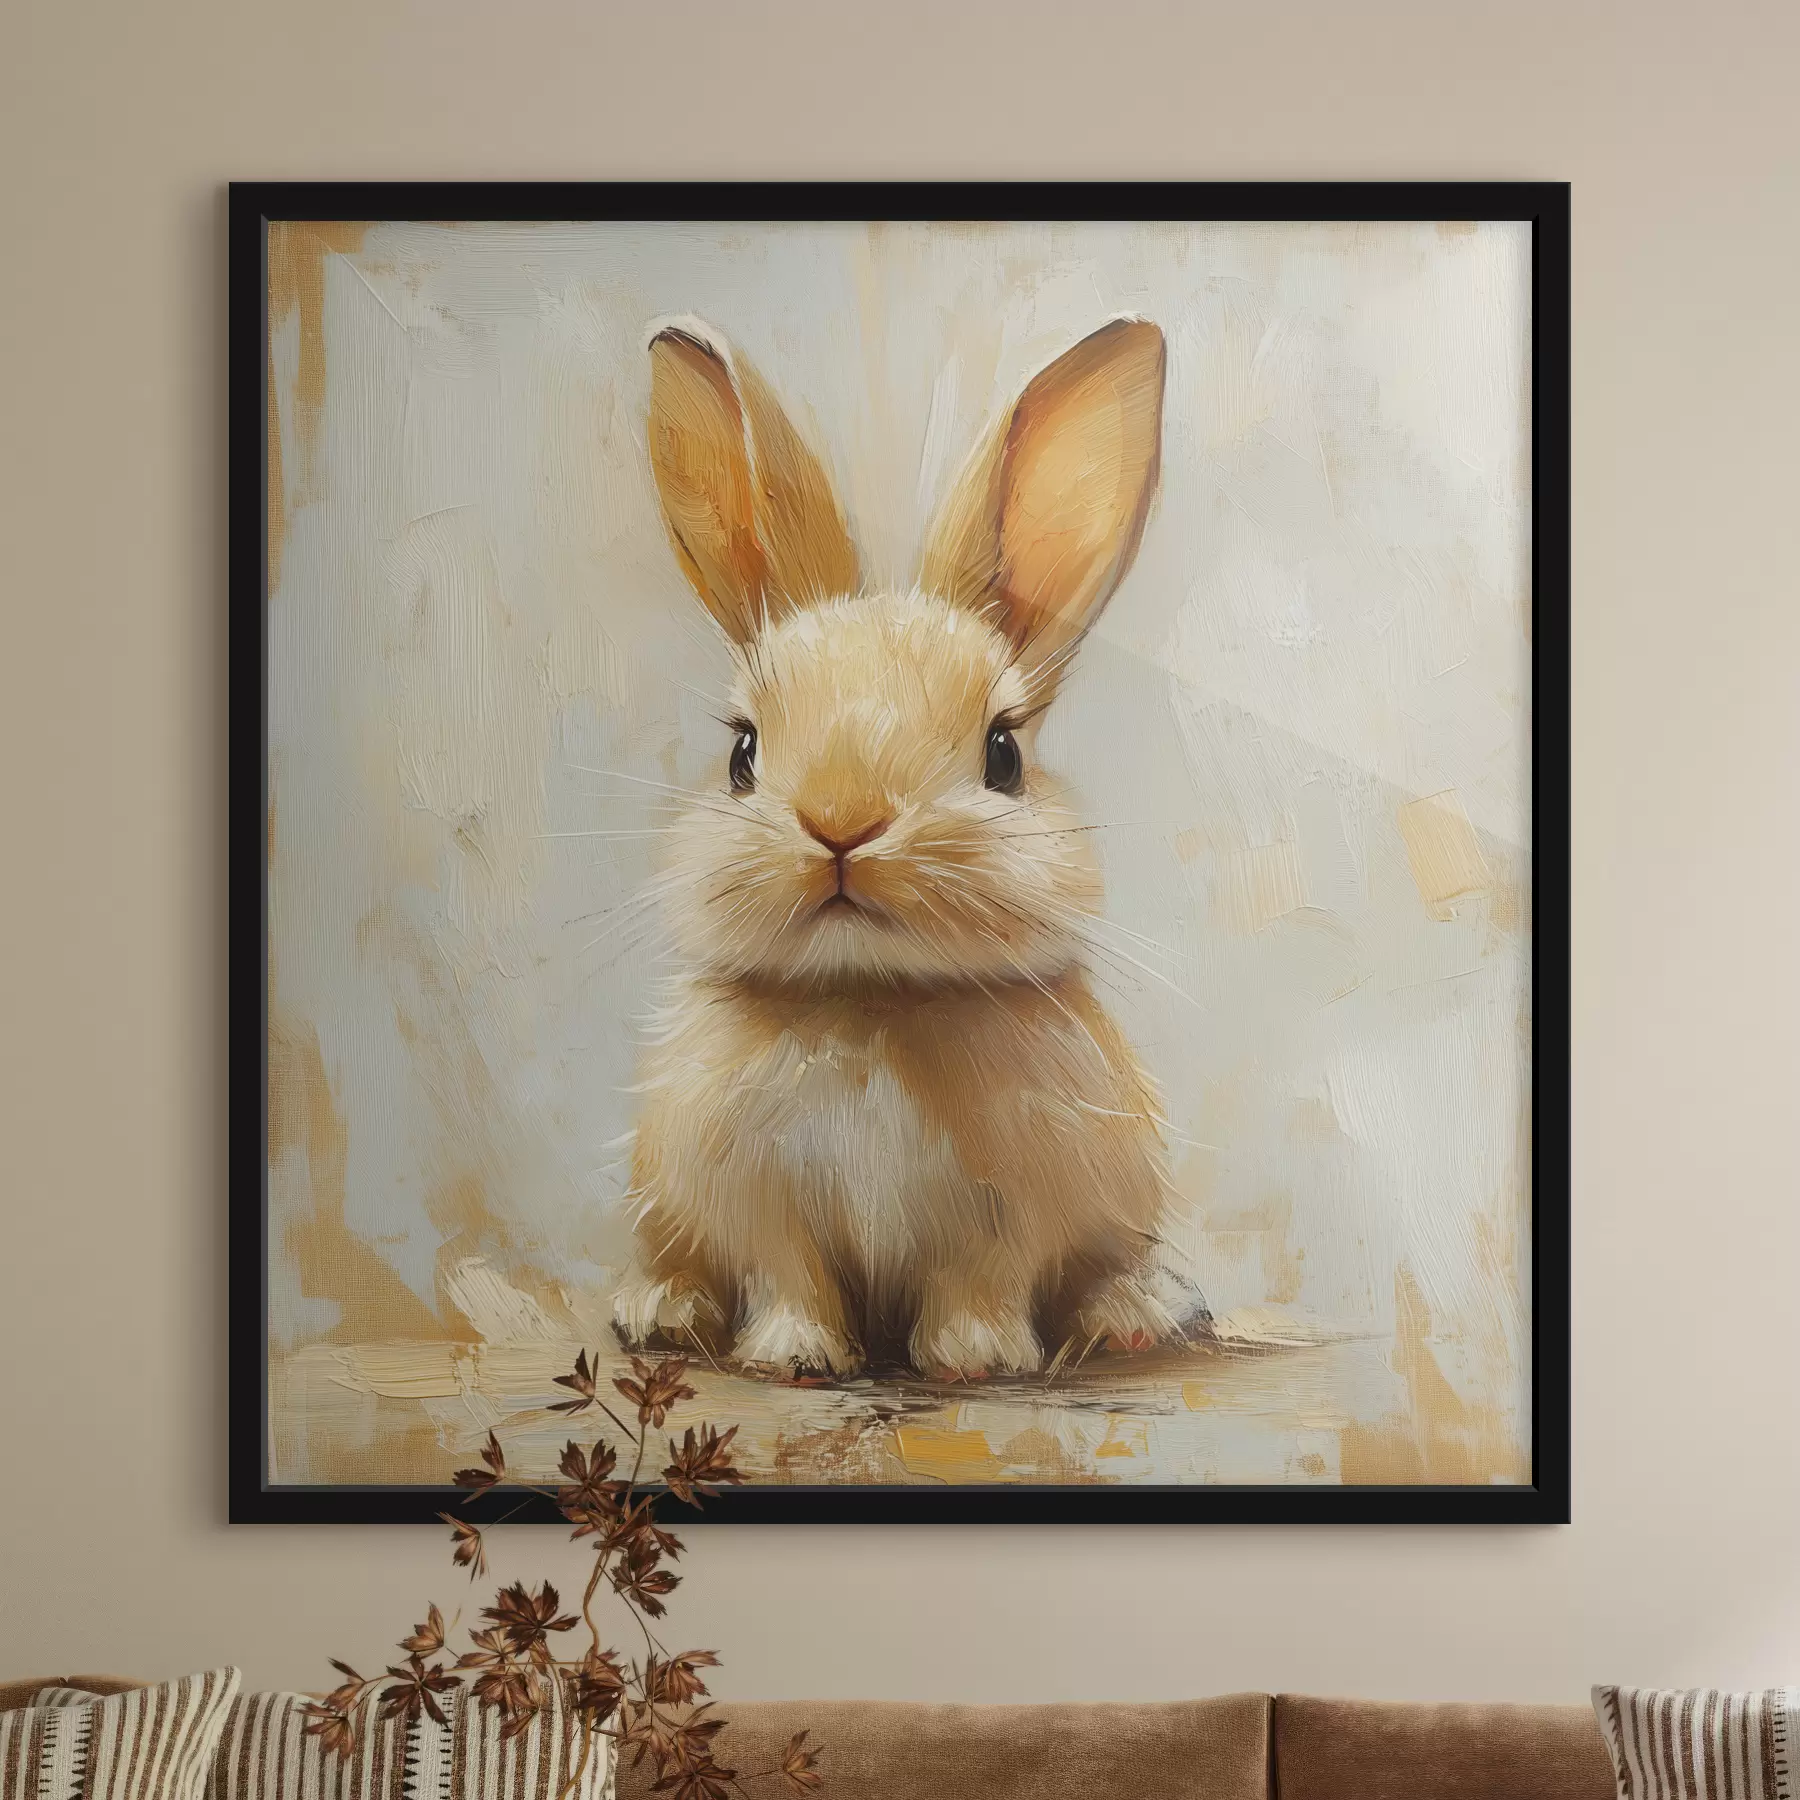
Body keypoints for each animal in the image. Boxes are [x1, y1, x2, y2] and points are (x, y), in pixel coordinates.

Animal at [609, 315, 1182, 1382]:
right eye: (742, 752)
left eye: (1003, 754)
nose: (843, 823)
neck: (868, 999)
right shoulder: (756, 1208)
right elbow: (789, 1278)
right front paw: (794, 1357)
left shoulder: (1008, 1216)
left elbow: (980, 1283)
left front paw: (978, 1359)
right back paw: (660, 1313)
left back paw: (1136, 1317)